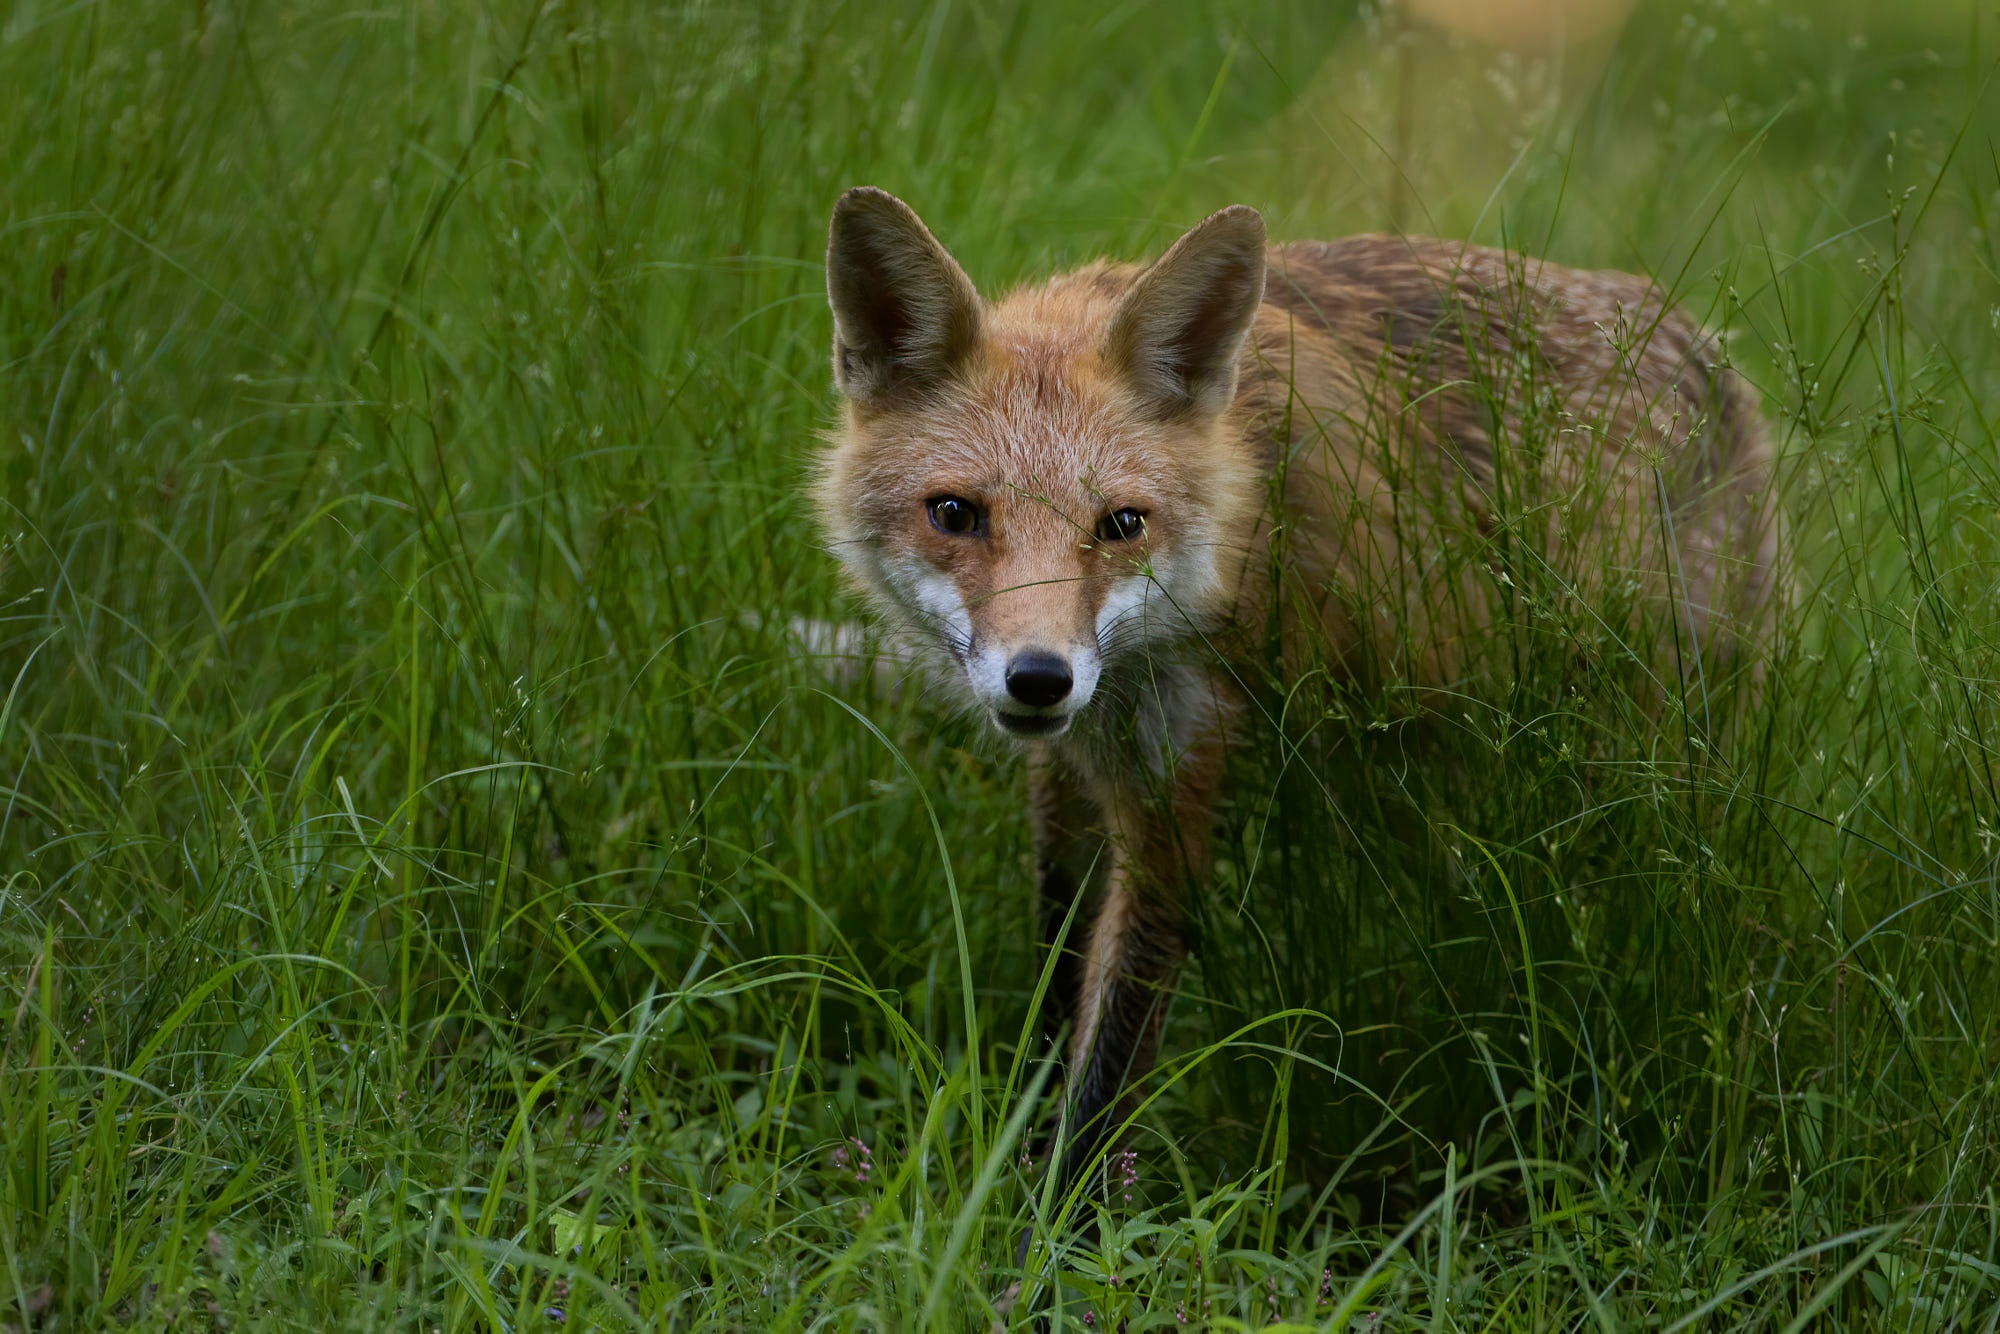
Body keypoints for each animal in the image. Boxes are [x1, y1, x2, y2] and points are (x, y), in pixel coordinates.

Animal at [812, 185, 1784, 1208]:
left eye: (1122, 524)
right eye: (955, 514)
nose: (1040, 676)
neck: (1241, 517)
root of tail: (1700, 340)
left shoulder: (1177, 778)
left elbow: (1112, 1053)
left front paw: (1057, 1221)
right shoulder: (1070, 772)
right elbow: (1056, 979)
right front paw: (1016, 1151)